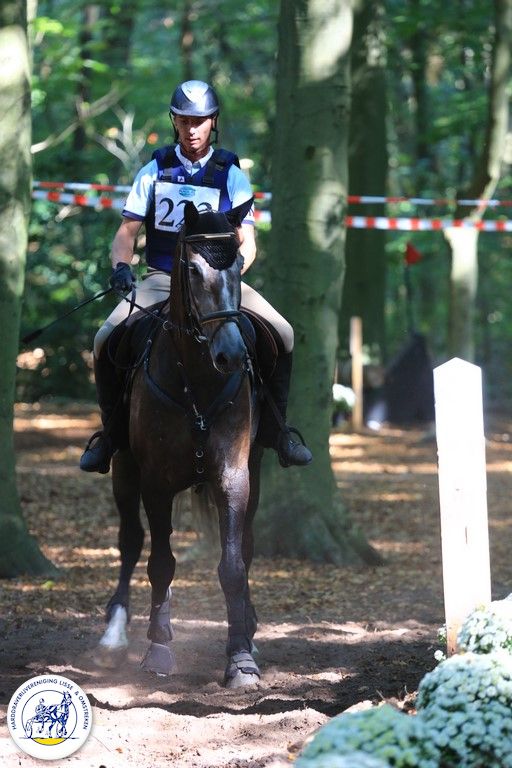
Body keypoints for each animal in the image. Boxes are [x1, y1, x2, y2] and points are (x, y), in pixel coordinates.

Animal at [96, 201, 263, 688]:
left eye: (239, 263)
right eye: (191, 268)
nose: (231, 354)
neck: (199, 381)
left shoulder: (235, 476)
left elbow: (233, 565)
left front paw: (240, 657)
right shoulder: (155, 481)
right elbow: (160, 562)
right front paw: (159, 648)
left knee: (244, 545)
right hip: (124, 470)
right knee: (133, 541)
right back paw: (116, 636)